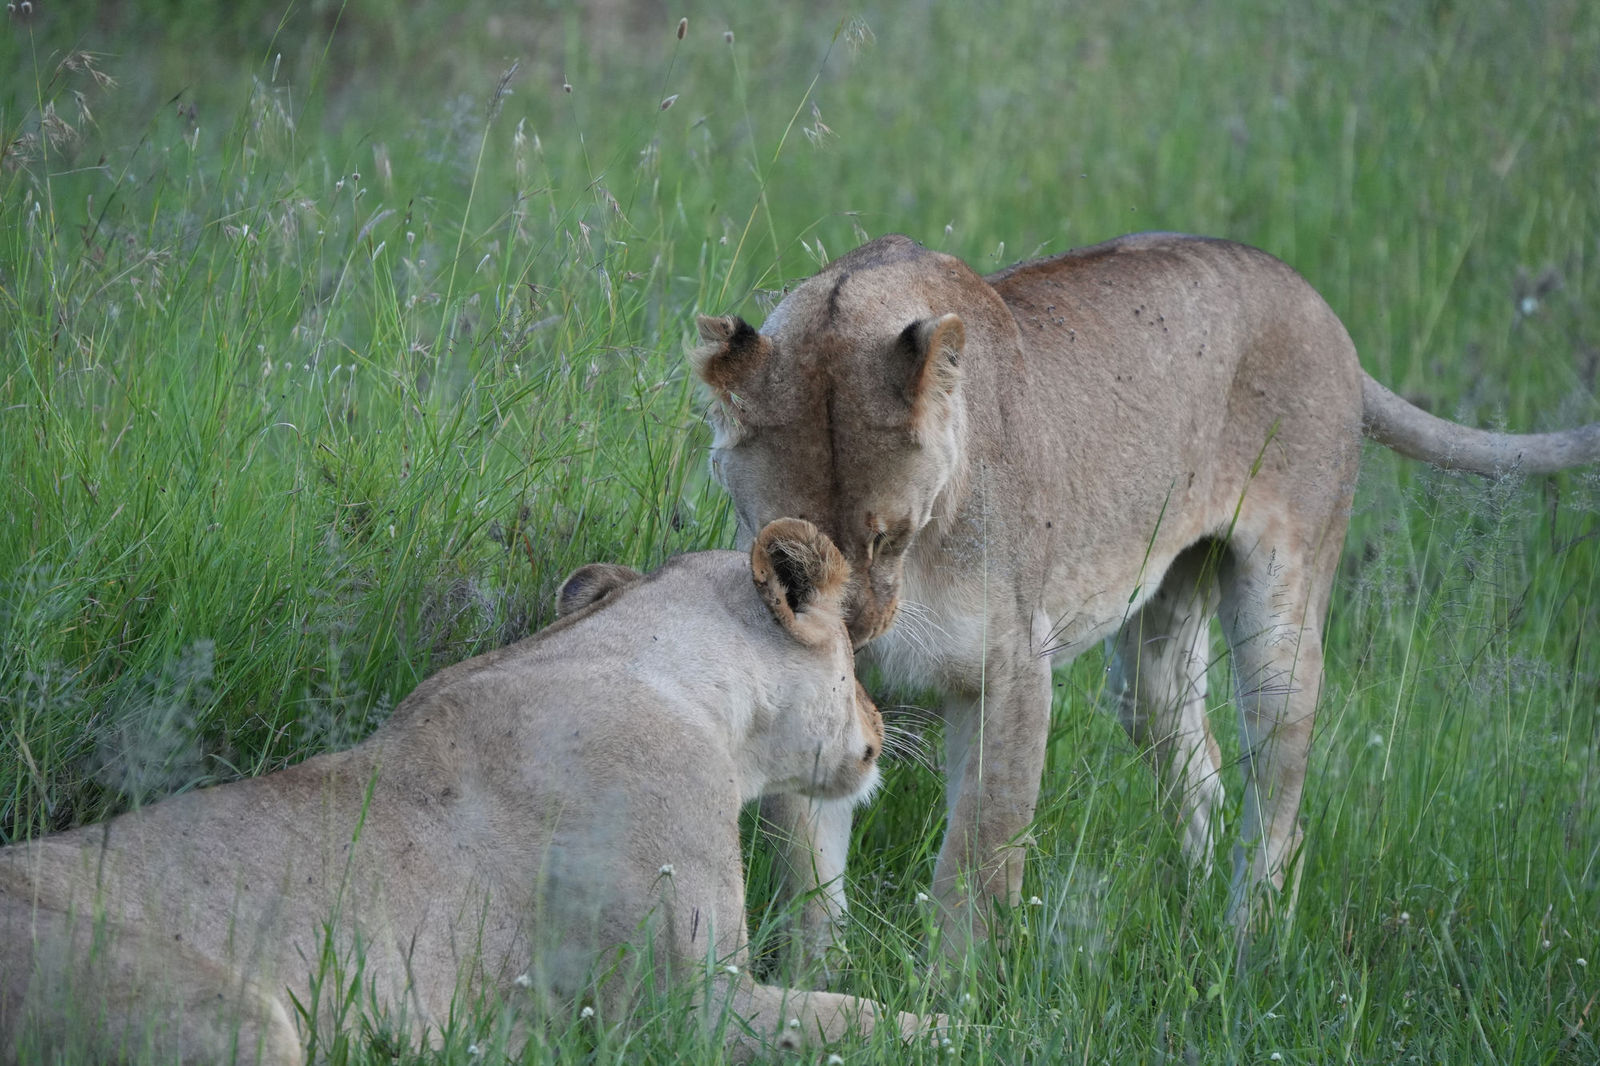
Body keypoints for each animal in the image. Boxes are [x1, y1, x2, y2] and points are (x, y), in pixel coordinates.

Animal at [0, 519, 940, 1064]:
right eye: (853, 652)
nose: (879, 721)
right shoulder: (686, 1009)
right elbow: (863, 1018)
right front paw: (950, 1031)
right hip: (238, 1015)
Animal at [690, 232, 1599, 952]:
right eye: (787, 556)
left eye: (889, 536)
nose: (858, 636)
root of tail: (1312, 296)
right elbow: (808, 873)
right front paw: (818, 986)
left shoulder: (1013, 673)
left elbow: (979, 863)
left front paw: (955, 996)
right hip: (1156, 653)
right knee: (1196, 761)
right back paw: (1193, 906)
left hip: (1283, 612)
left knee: (1279, 797)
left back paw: (1244, 945)